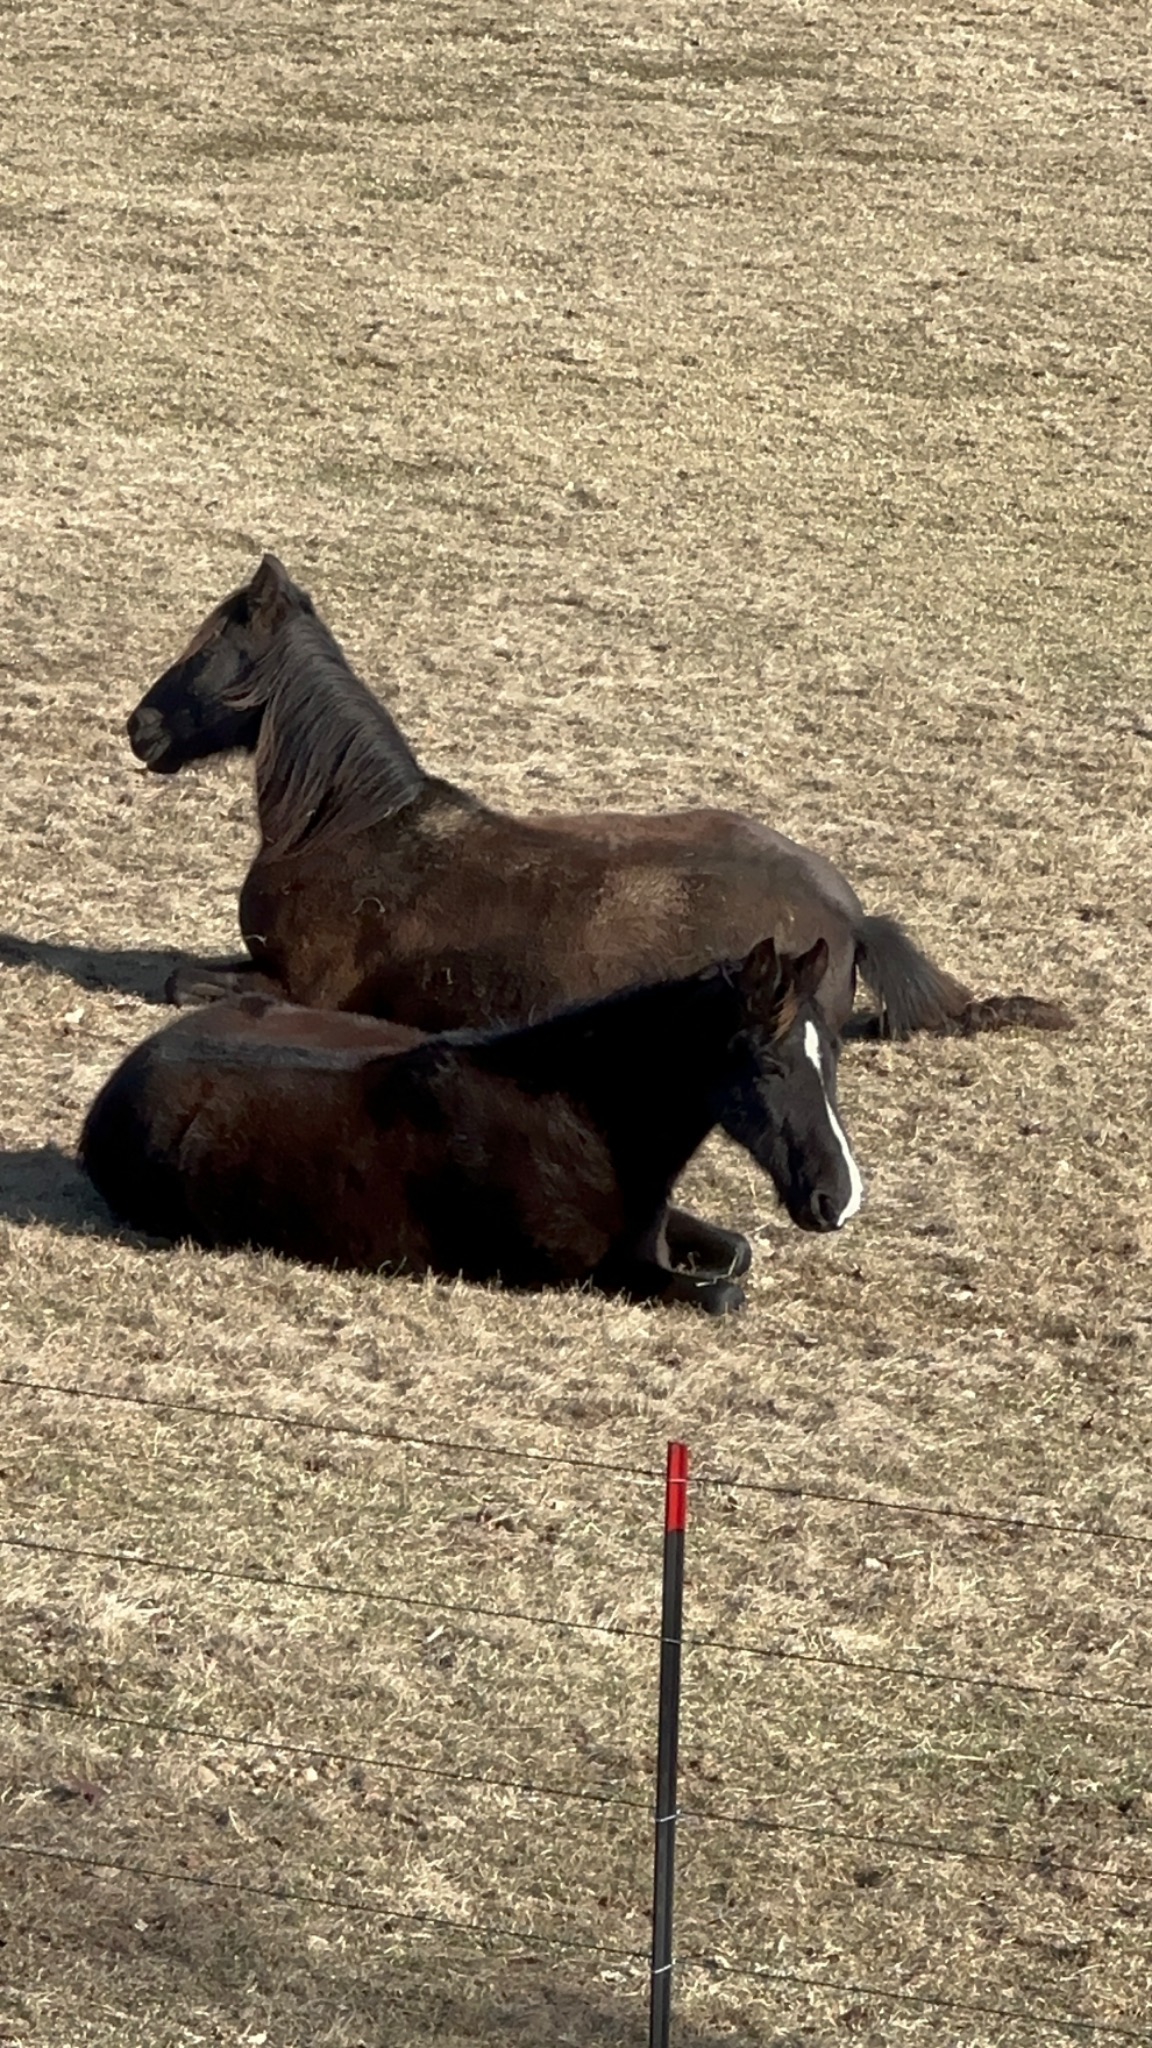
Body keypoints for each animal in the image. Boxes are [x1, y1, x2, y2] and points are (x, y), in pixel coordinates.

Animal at [79, 936, 863, 1316]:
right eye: (769, 1065)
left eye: (829, 1056)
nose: (838, 1197)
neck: (575, 1115)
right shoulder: (592, 1273)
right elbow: (725, 1293)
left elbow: (736, 1253)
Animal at [127, 553, 1071, 1040]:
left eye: (209, 650)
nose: (139, 729)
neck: (352, 831)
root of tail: (850, 917)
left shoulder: (305, 988)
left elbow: (182, 982)